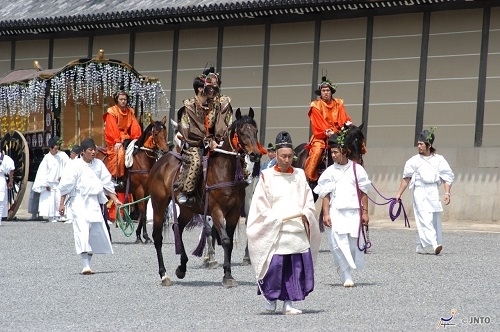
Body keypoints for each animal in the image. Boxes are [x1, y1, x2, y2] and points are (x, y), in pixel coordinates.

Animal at [96, 116, 169, 244]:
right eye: (155, 134)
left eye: (165, 132)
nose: (165, 151)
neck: (143, 160)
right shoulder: (139, 190)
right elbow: (142, 214)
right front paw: (145, 236)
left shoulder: (146, 192)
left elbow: (143, 213)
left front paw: (140, 235)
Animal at [147, 107, 262, 286]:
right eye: (242, 132)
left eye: (255, 131)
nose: (255, 155)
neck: (225, 171)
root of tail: (160, 162)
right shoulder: (216, 210)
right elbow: (225, 239)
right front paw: (226, 274)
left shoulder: (234, 212)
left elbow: (227, 241)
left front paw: (228, 274)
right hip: (158, 204)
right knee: (157, 237)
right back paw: (164, 275)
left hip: (187, 210)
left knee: (177, 228)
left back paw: (182, 268)